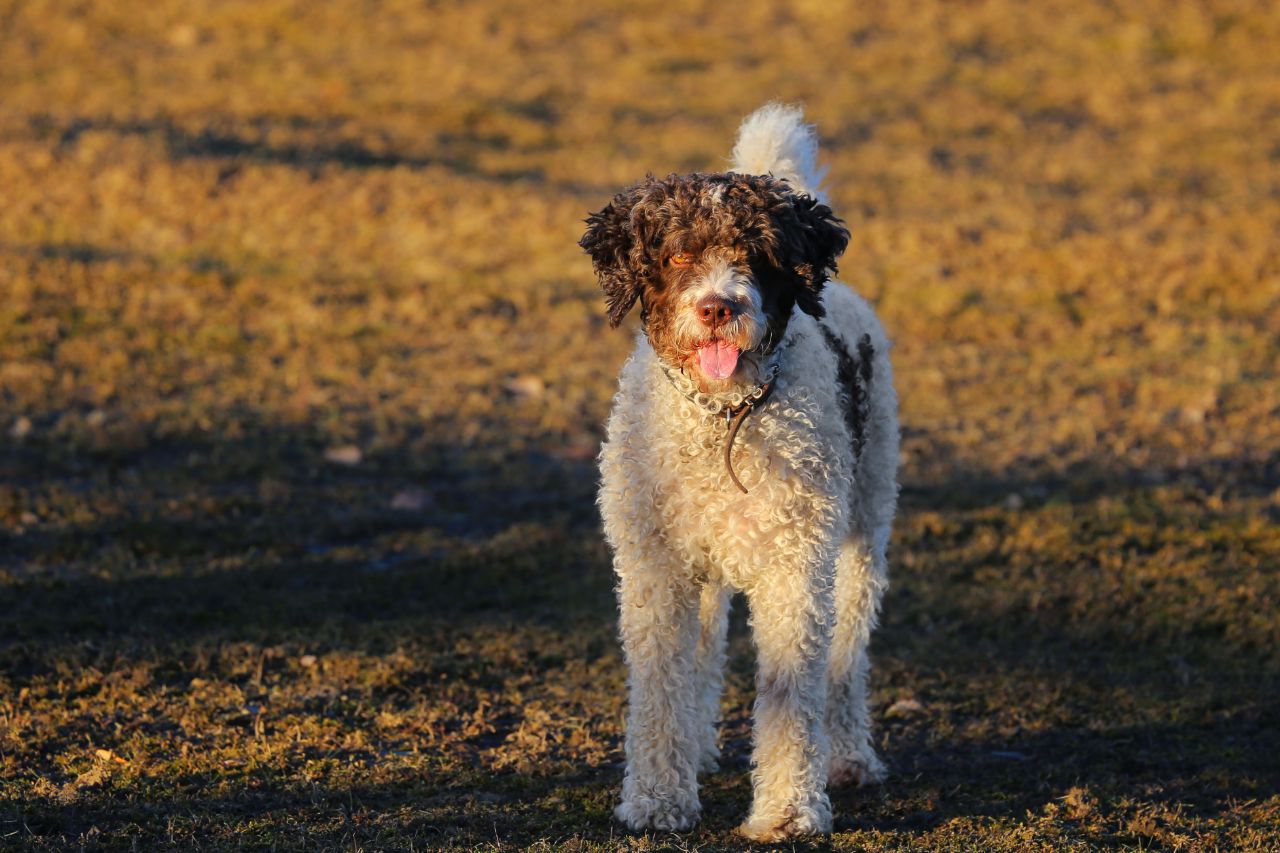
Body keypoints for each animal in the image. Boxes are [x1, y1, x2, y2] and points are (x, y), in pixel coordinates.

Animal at [583, 104, 901, 835]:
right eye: (676, 255)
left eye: (756, 257)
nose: (718, 308)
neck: (721, 418)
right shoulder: (657, 569)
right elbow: (663, 685)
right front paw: (657, 799)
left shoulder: (794, 568)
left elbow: (791, 693)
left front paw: (786, 812)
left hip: (863, 527)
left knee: (846, 657)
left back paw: (848, 756)